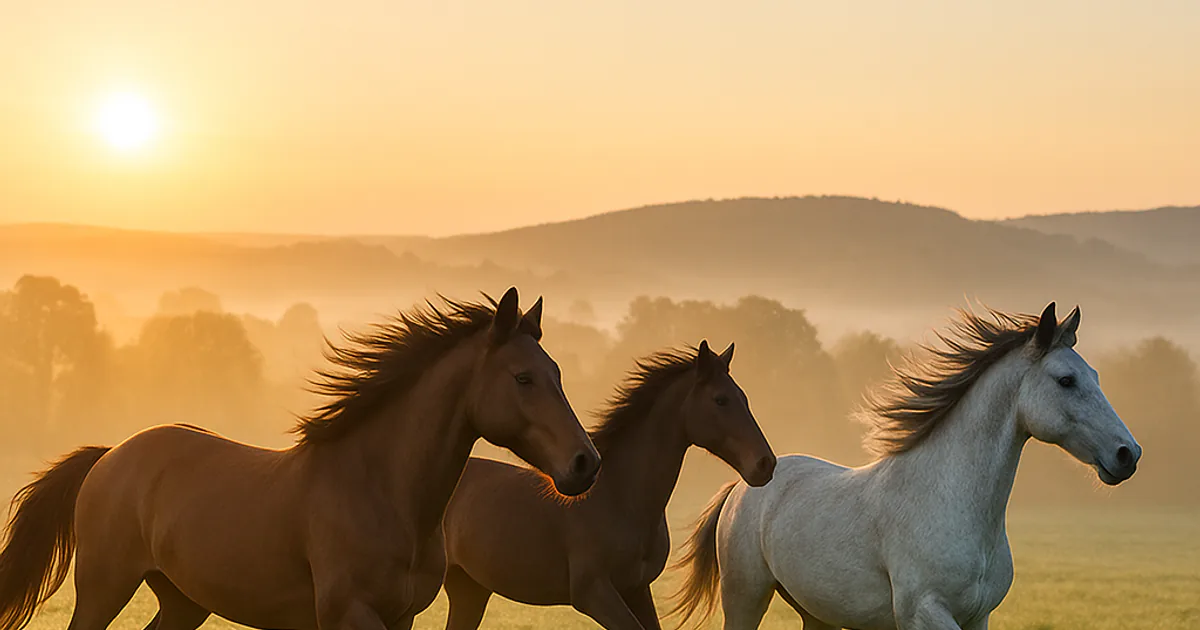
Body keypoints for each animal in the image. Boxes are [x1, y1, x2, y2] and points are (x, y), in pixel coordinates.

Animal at [0, 287, 601, 630]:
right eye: (522, 378)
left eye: (557, 372)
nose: (585, 463)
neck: (382, 493)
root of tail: (111, 456)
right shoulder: (348, 614)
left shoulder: (402, 617)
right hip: (104, 589)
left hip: (183, 602)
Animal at [439, 341, 777, 630]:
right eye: (720, 400)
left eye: (743, 398)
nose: (765, 463)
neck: (620, 497)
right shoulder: (594, 594)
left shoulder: (637, 588)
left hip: (469, 589)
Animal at [671, 303, 1141, 630]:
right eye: (1066, 380)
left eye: (1095, 376)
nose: (1128, 454)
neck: (950, 503)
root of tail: (741, 488)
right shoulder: (924, 613)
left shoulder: (978, 618)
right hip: (745, 598)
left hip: (815, 612)